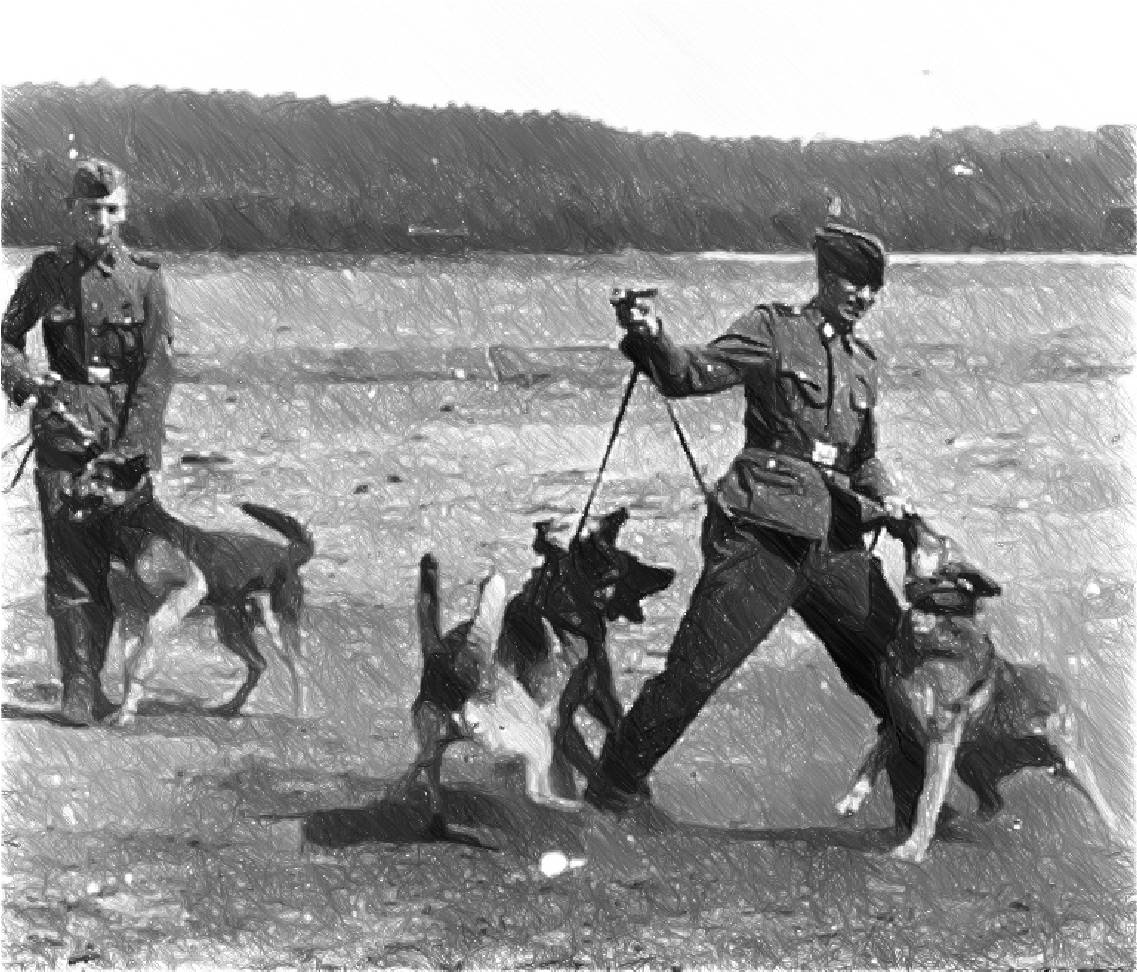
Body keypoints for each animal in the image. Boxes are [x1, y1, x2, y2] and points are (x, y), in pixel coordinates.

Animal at [108, 499, 314, 725]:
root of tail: (288, 553)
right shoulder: (131, 616)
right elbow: (129, 668)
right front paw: (124, 710)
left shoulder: (191, 587)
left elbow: (143, 656)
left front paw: (126, 714)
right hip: (230, 628)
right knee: (258, 663)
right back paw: (230, 708)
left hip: (277, 627)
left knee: (300, 669)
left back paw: (302, 716)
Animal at [835, 515, 1121, 862]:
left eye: (939, 537)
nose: (911, 515)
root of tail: (1055, 680)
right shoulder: (898, 720)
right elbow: (872, 759)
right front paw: (852, 798)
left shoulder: (941, 736)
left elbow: (928, 797)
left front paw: (913, 848)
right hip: (970, 762)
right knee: (993, 803)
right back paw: (971, 827)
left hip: (1068, 758)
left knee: (1103, 806)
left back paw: (1118, 838)